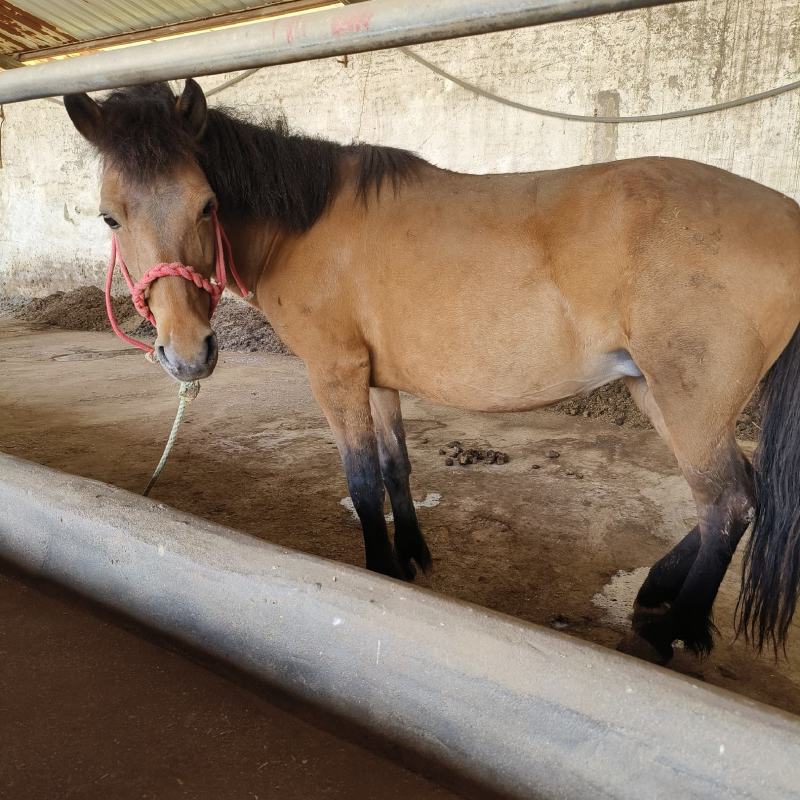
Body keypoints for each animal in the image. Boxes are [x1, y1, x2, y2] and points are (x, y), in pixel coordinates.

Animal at [63, 79, 800, 665]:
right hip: (655, 389)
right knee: (741, 494)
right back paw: (663, 601)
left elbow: (362, 481)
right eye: (111, 216)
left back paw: (666, 631)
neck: (305, 226)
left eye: (207, 204)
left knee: (727, 503)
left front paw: (379, 568)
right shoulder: (377, 376)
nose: (188, 353)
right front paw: (412, 555)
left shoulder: (334, 372)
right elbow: (395, 466)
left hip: (687, 397)